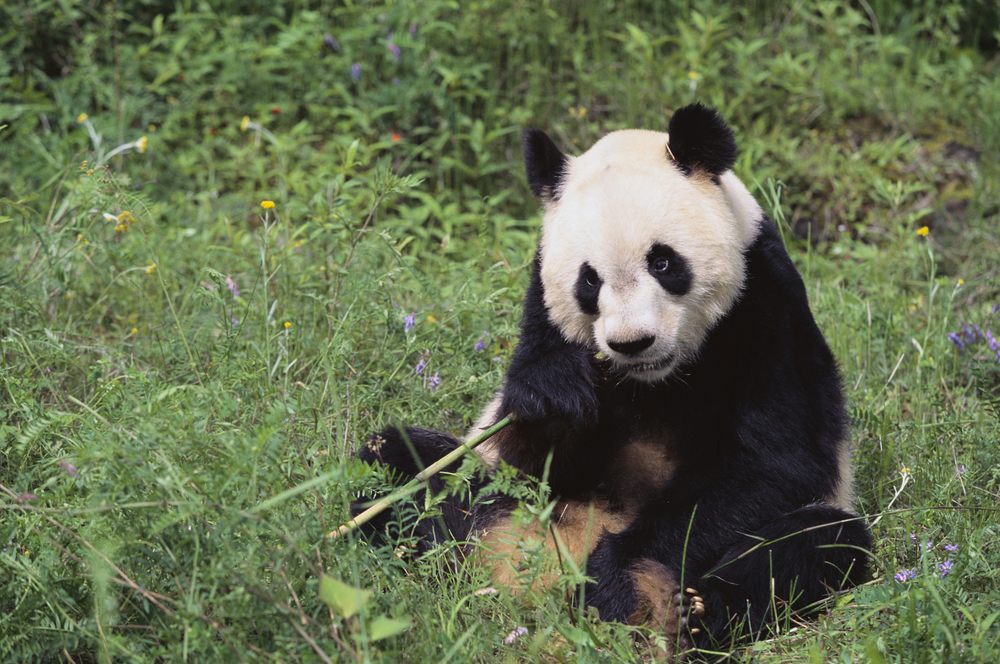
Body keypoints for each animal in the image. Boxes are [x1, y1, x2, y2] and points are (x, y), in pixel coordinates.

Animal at [356, 101, 872, 656]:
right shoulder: (543, 314)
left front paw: (615, 576)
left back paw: (689, 614)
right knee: (402, 464)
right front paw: (554, 396)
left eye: (663, 261)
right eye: (589, 280)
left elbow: (774, 460)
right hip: (485, 491)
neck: (656, 381)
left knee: (813, 544)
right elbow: (531, 455)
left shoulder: (764, 307)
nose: (631, 343)